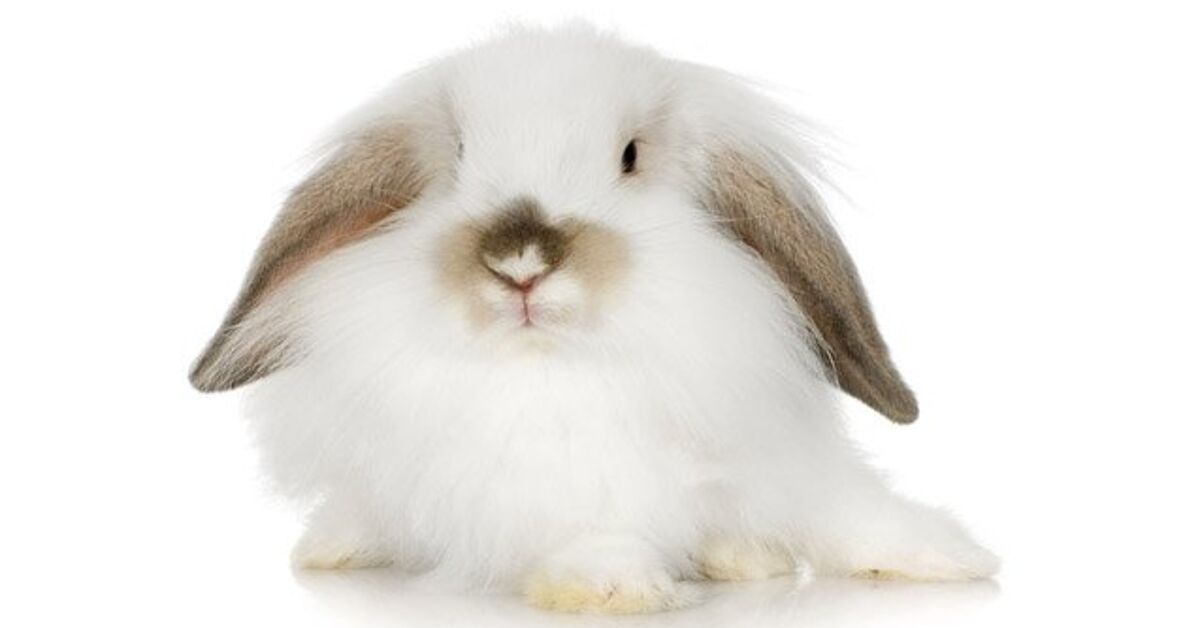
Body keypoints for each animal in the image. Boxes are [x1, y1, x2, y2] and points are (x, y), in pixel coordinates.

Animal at [189, 24, 999, 614]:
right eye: (459, 153)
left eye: (631, 156)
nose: (520, 261)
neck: (566, 365)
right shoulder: (542, 482)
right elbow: (591, 520)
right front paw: (616, 585)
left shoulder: (772, 449)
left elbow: (841, 508)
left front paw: (951, 556)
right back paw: (333, 547)